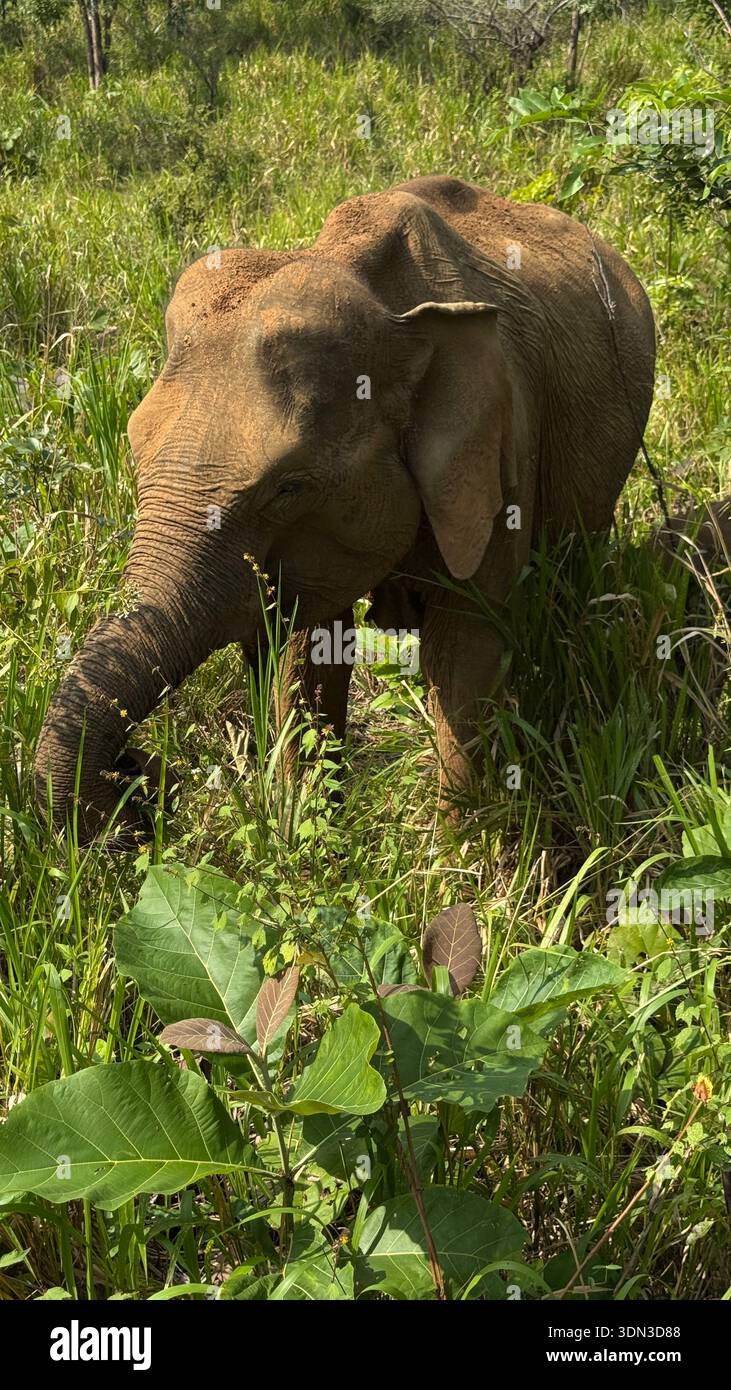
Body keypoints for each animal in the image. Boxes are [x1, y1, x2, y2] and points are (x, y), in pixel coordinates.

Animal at [34, 174, 656, 843]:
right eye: (133, 449)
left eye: (287, 488)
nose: (141, 777)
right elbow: (310, 647)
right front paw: (311, 830)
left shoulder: (503, 452)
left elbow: (464, 647)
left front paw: (451, 851)